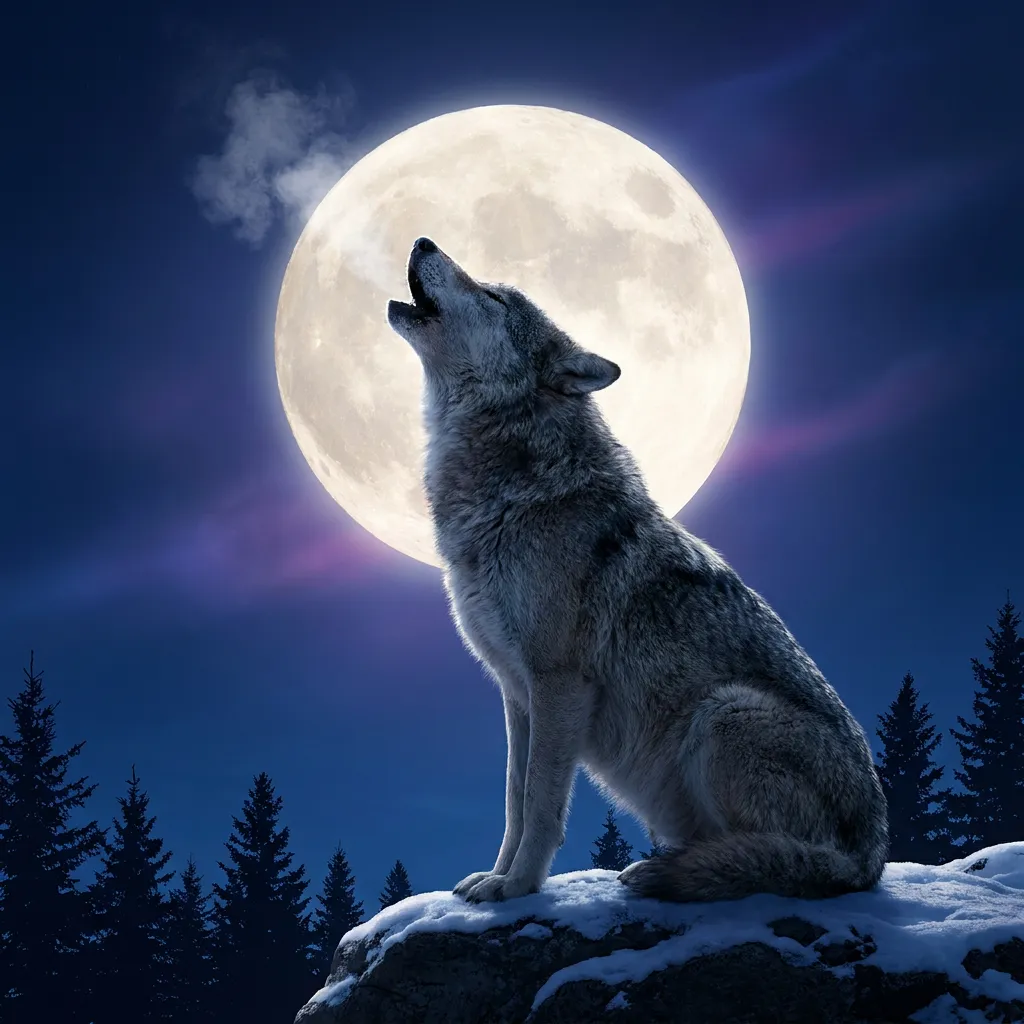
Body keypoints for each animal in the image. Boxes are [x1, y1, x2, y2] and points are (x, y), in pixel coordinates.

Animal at [386, 236, 888, 904]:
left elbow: (541, 804)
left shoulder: (559, 683)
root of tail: (874, 856)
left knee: (786, 861)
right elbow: (514, 802)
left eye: (493, 296)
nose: (422, 241)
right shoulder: (517, 694)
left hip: (723, 713)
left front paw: (518, 886)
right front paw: (496, 876)